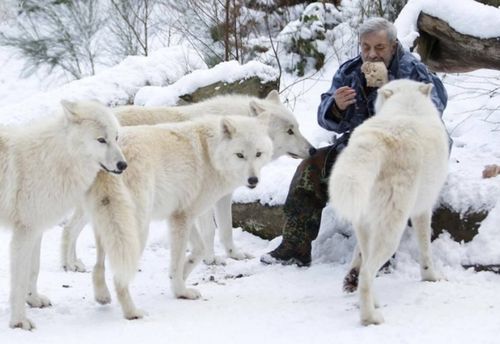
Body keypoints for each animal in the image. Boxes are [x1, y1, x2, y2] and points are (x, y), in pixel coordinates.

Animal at [0, 101, 126, 330]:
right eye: (101, 140)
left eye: (116, 137)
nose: (123, 165)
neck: (56, 158)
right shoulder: (24, 233)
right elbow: (19, 281)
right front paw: (19, 321)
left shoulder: (37, 230)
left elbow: (34, 269)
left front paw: (33, 300)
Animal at [60, 90, 314, 272]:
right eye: (289, 131)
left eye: (298, 127)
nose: (313, 150)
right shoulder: (202, 197)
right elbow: (210, 231)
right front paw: (211, 259)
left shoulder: (223, 196)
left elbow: (226, 230)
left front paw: (234, 255)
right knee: (69, 229)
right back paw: (70, 264)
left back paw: (70, 263)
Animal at [85, 114, 274, 318]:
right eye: (240, 155)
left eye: (258, 154)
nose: (253, 180)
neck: (210, 153)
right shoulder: (182, 218)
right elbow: (178, 260)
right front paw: (180, 291)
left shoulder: (181, 214)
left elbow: (199, 250)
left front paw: (179, 276)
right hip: (136, 231)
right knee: (119, 277)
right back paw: (132, 312)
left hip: (107, 226)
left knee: (98, 266)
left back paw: (102, 296)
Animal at [328, 79, 450, 326]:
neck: (408, 106)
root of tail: (378, 140)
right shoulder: (423, 211)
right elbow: (426, 249)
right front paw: (430, 276)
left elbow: (357, 254)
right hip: (392, 232)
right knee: (367, 274)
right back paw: (370, 317)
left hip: (367, 224)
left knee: (365, 266)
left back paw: (373, 302)